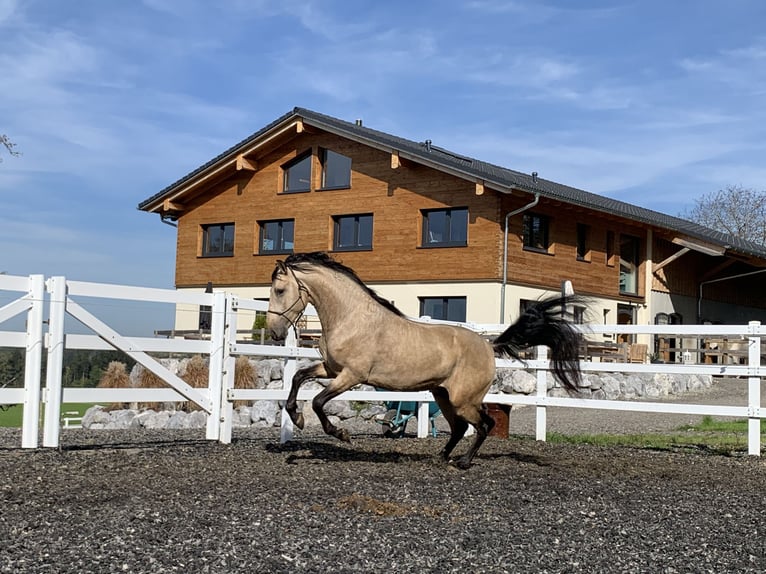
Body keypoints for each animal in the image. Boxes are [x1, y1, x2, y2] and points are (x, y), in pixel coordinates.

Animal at [267, 252, 582, 469]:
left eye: (280, 290)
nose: (274, 332)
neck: (351, 318)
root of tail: (489, 345)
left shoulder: (351, 375)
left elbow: (318, 402)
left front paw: (340, 433)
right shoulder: (332, 369)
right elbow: (298, 378)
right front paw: (296, 417)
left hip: (462, 400)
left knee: (484, 425)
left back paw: (464, 462)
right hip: (442, 395)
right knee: (461, 428)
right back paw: (441, 456)